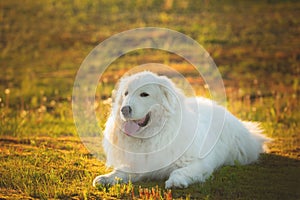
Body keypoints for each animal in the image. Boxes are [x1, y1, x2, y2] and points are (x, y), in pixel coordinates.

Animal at [92, 71, 270, 188]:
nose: (124, 109)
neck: (153, 136)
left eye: (144, 94)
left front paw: (176, 182)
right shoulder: (138, 164)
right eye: (126, 94)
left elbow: (179, 172)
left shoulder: (199, 163)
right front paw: (106, 178)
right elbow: (119, 172)